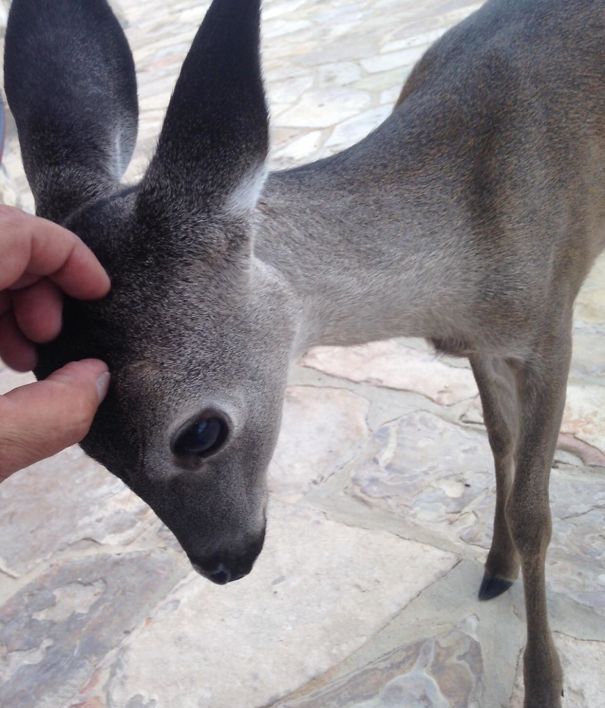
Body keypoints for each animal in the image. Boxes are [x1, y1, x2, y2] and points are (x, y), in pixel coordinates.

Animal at [2, 0, 600, 704]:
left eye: (200, 432)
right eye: (90, 450)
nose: (223, 563)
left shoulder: (551, 320)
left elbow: (535, 511)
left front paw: (544, 684)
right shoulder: (487, 342)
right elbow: (498, 443)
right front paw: (496, 566)